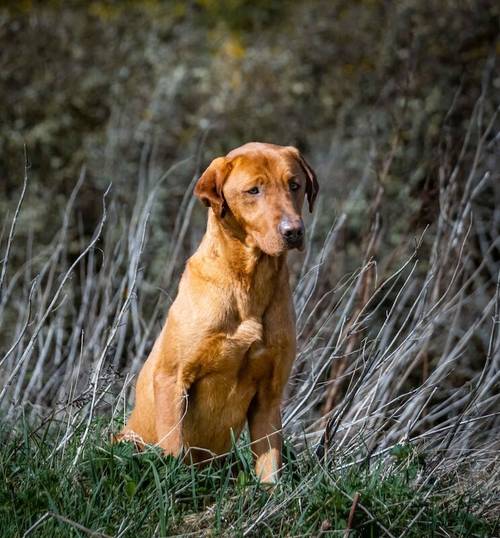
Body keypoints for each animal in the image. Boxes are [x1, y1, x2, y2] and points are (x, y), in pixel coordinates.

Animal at [118, 140, 316, 480]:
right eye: (253, 190)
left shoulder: (269, 396)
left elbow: (269, 466)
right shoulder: (172, 380)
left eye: (294, 184)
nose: (293, 231)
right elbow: (173, 449)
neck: (248, 283)